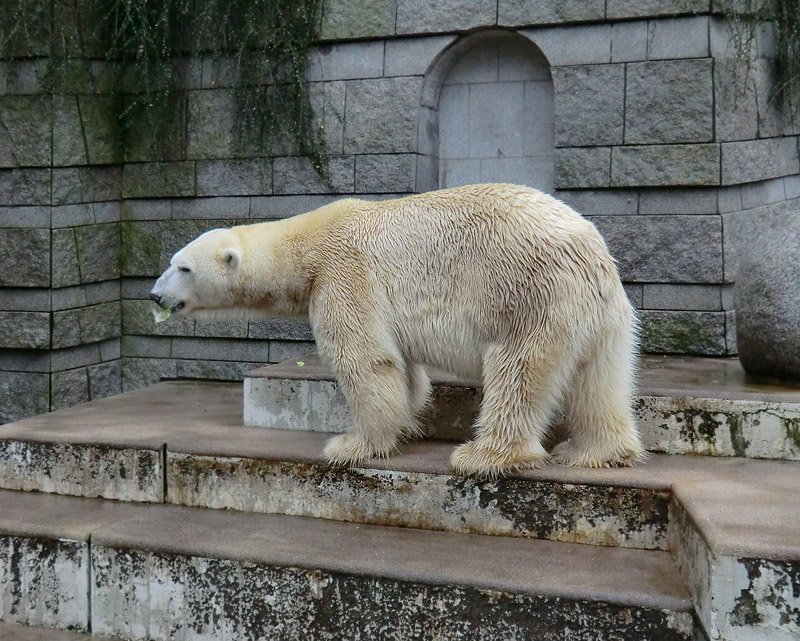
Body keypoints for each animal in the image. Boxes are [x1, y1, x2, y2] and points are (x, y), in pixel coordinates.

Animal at [152, 182, 644, 472]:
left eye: (183, 267)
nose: (155, 296)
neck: (307, 244)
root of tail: (590, 252)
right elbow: (405, 370)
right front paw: (405, 425)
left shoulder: (343, 276)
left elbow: (367, 360)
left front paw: (351, 445)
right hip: (604, 315)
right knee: (600, 377)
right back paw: (595, 451)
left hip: (527, 292)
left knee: (517, 369)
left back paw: (483, 455)